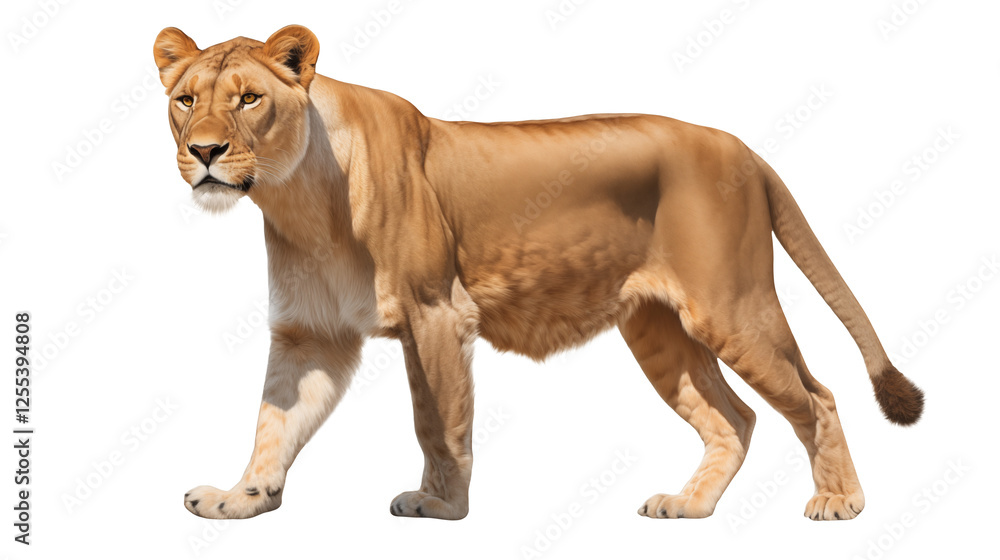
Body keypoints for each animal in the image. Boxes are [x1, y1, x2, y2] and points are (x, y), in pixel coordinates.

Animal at [155, 25, 924, 522]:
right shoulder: (311, 334)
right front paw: (242, 498)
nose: (205, 152)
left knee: (816, 396)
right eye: (186, 99)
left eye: (250, 98)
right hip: (660, 333)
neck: (299, 199)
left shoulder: (437, 313)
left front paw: (441, 505)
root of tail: (741, 147)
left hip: (731, 308)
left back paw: (839, 502)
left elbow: (438, 420)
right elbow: (274, 421)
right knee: (734, 418)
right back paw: (690, 505)